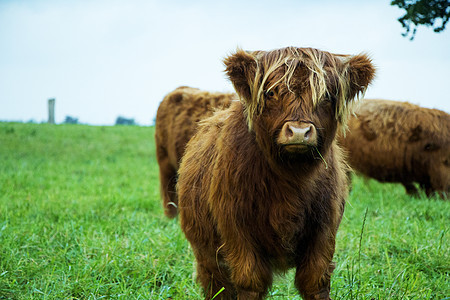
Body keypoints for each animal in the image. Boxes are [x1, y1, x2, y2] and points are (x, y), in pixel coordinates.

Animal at [177, 47, 376, 300]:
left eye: (326, 96)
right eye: (271, 92)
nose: (299, 132)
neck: (291, 178)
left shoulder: (325, 228)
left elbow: (316, 280)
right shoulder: (236, 227)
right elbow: (250, 281)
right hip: (205, 250)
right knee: (217, 284)